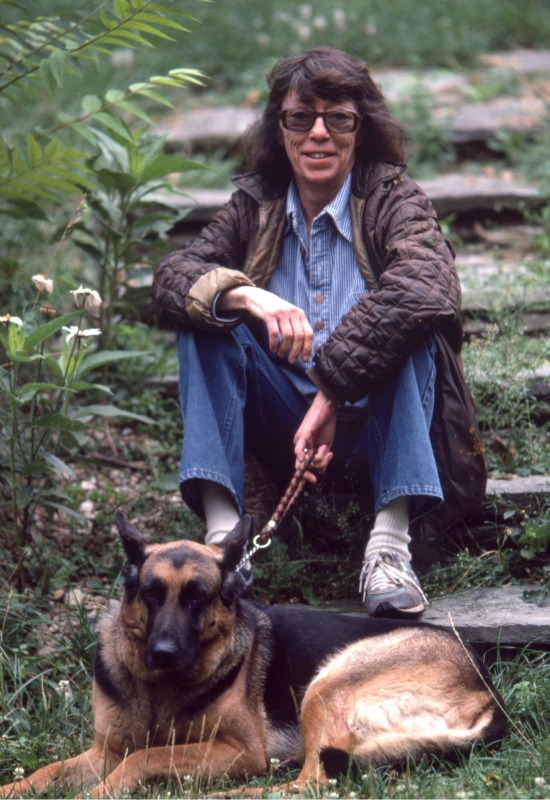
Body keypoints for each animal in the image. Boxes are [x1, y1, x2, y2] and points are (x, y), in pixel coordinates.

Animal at [0, 516, 508, 796]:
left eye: (198, 597)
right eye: (150, 593)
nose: (161, 653)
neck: (160, 689)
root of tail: (490, 694)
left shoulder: (237, 751)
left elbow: (144, 758)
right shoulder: (101, 752)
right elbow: (45, 772)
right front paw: (13, 787)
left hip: (328, 684)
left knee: (310, 783)